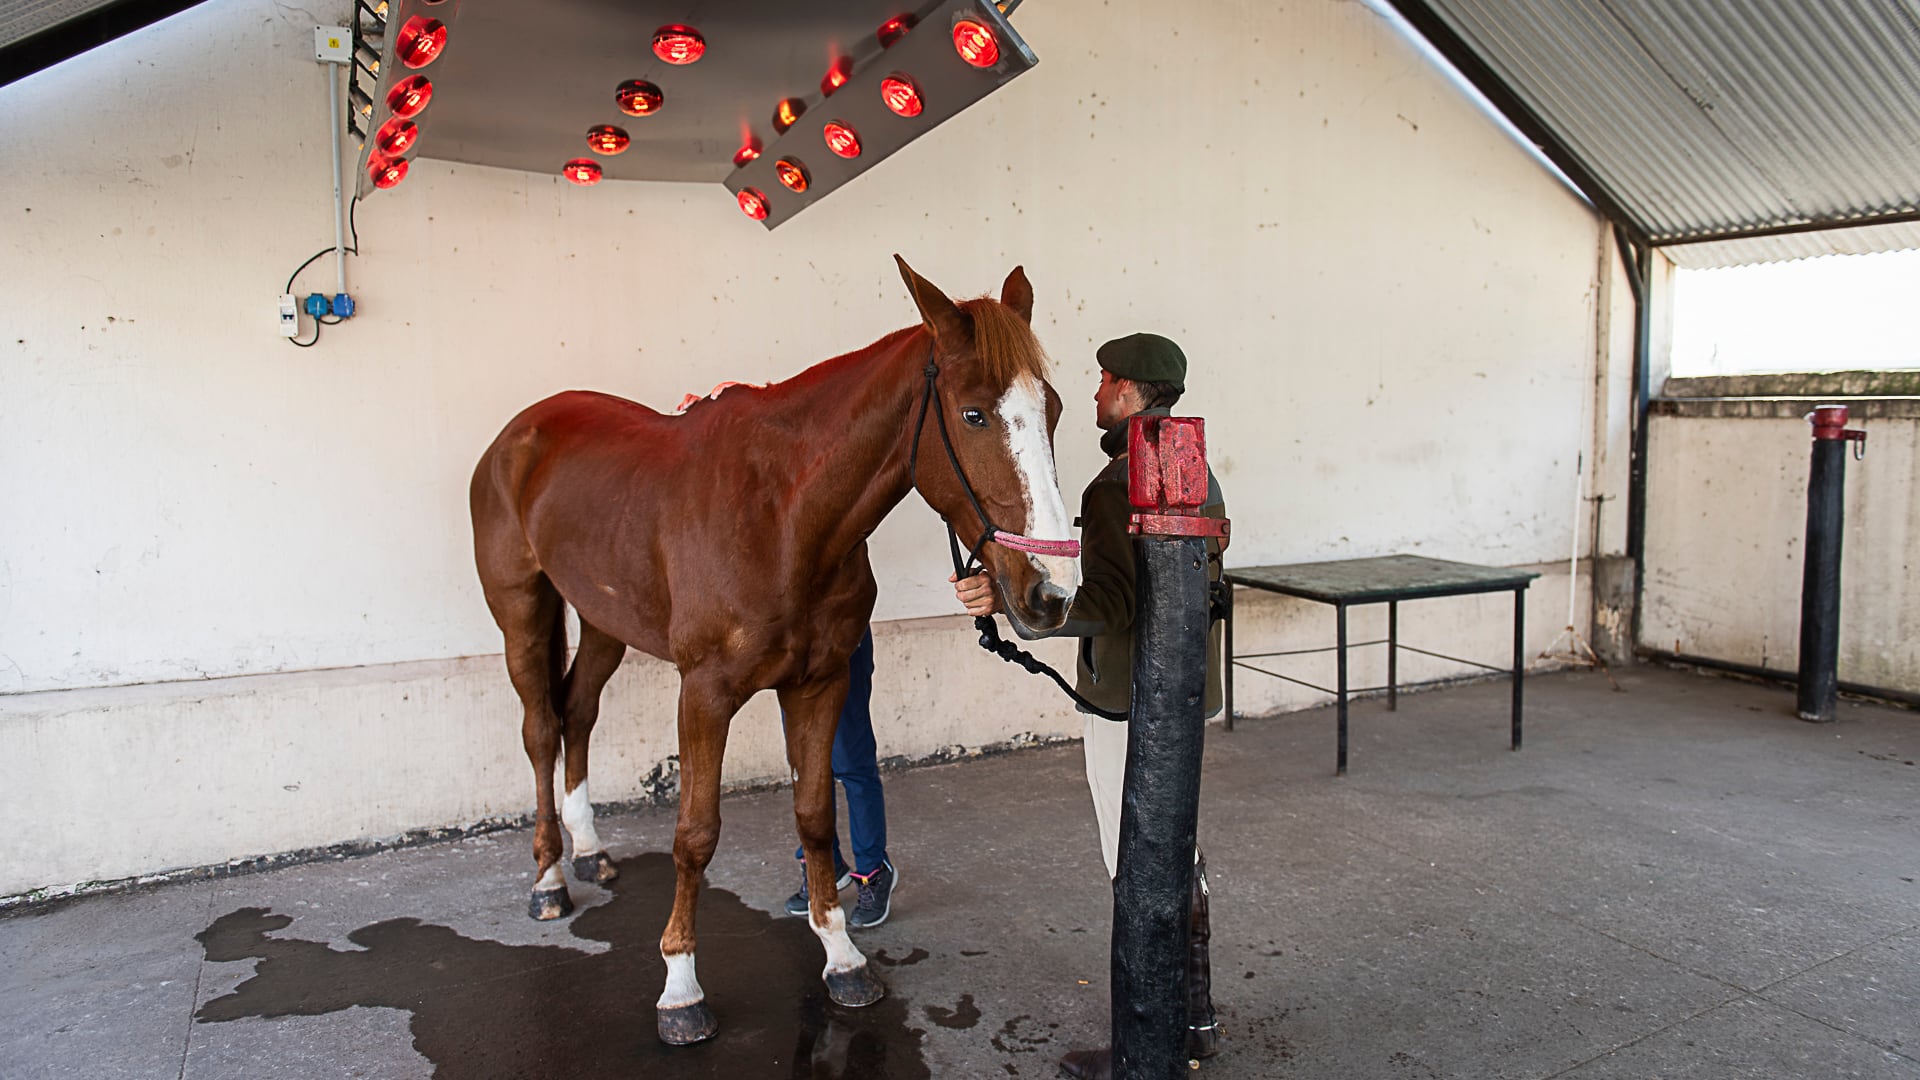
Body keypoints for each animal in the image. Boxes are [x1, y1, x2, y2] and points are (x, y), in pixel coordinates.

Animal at [466, 255, 1082, 1037]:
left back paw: (591, 851)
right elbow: (695, 834)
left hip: (605, 620)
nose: (1053, 592)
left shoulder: (820, 683)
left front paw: (842, 958)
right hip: (521, 609)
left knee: (577, 712)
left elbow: (816, 817)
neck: (783, 515)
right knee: (542, 728)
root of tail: (520, 433)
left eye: (1053, 410)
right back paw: (548, 877)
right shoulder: (703, 693)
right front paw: (680, 987)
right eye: (974, 414)